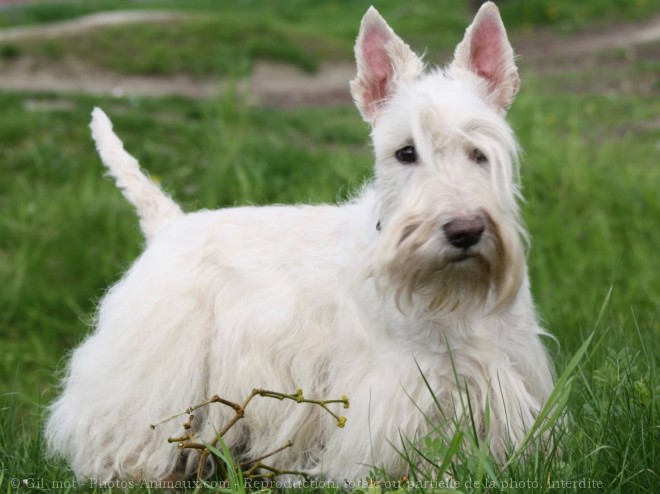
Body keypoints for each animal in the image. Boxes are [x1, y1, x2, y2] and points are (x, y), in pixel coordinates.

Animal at [46, 2, 556, 482]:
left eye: (480, 152)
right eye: (406, 152)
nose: (464, 230)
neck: (450, 296)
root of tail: (170, 224)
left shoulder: (506, 367)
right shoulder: (398, 385)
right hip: (152, 364)